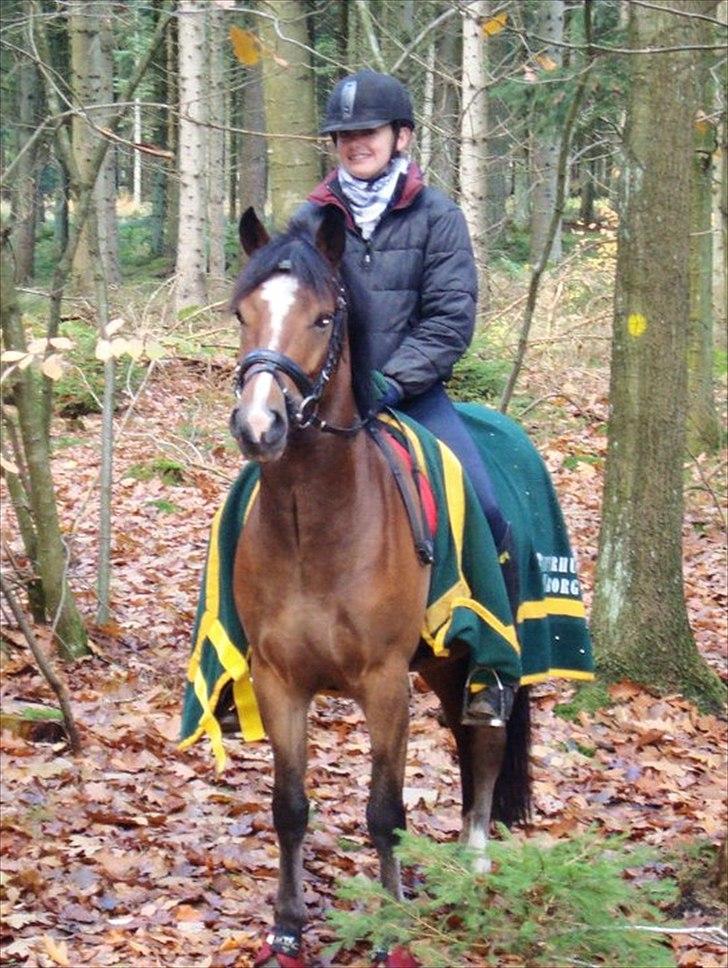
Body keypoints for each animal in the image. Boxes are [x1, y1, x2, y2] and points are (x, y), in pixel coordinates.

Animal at [228, 205, 531, 967]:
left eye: (323, 317)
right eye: (242, 312)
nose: (259, 426)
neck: (314, 528)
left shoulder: (385, 681)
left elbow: (385, 812)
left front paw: (392, 928)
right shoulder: (279, 679)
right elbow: (289, 807)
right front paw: (287, 926)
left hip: (483, 654)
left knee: (487, 736)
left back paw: (474, 859)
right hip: (444, 665)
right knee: (465, 734)